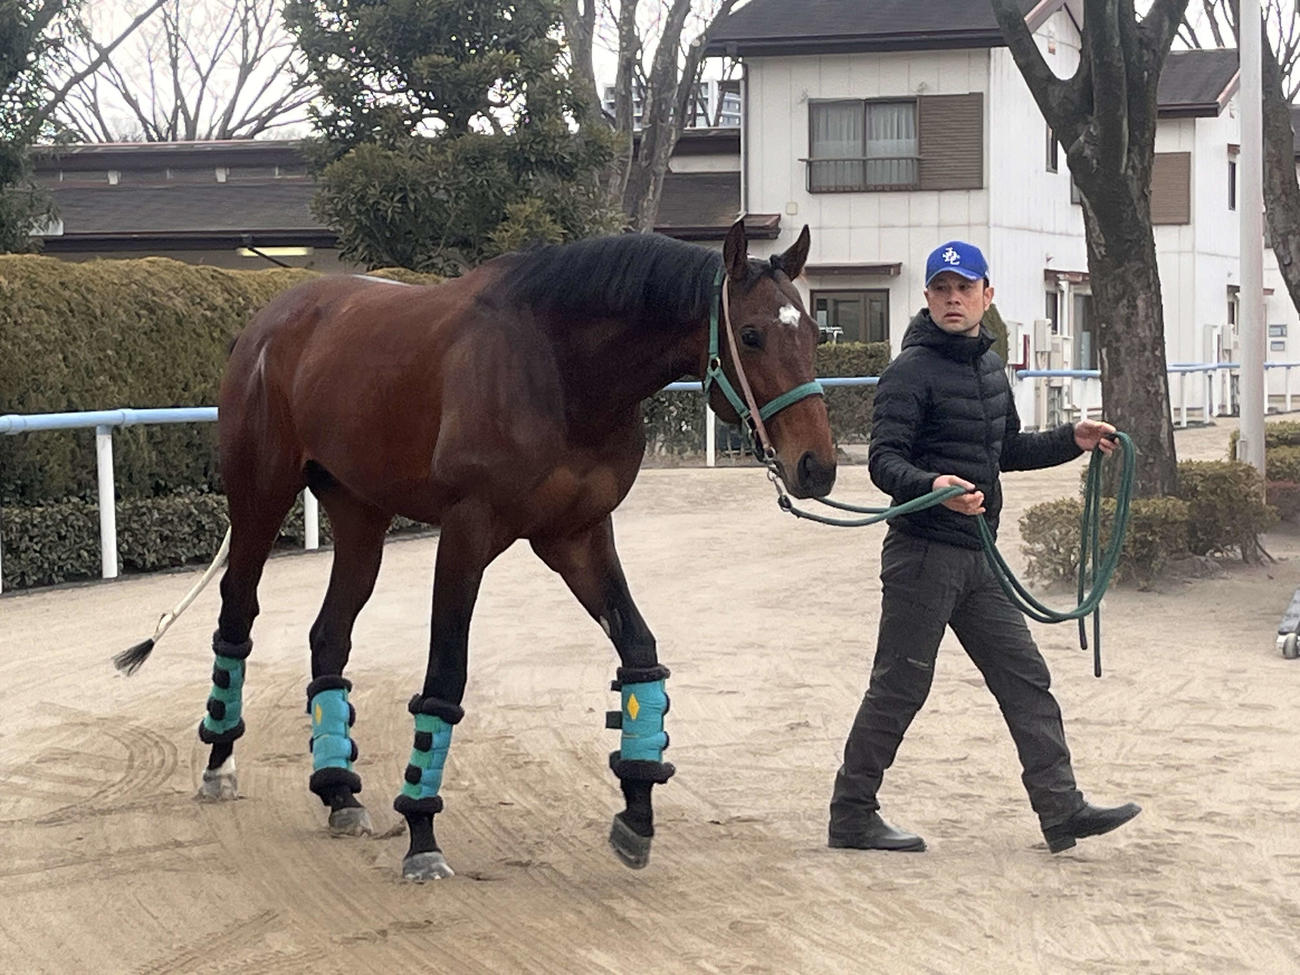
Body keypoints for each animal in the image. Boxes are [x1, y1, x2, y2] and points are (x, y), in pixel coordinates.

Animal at [117, 219, 836, 881]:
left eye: (811, 333)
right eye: (752, 335)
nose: (816, 466)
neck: (560, 367)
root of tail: (267, 323)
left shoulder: (578, 535)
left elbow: (638, 653)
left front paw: (636, 807)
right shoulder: (467, 532)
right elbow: (444, 678)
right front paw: (421, 832)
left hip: (361, 516)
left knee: (329, 635)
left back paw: (339, 791)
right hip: (260, 501)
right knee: (237, 617)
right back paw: (220, 761)